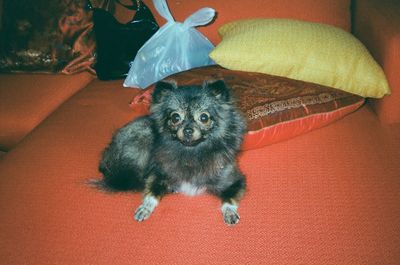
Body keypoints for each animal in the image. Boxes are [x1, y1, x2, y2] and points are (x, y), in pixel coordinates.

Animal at [97, 79, 247, 225]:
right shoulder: (156, 175)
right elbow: (151, 193)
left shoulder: (234, 181)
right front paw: (145, 208)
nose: (188, 130)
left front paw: (230, 212)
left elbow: (228, 199)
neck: (191, 152)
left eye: (204, 117)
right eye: (175, 117)